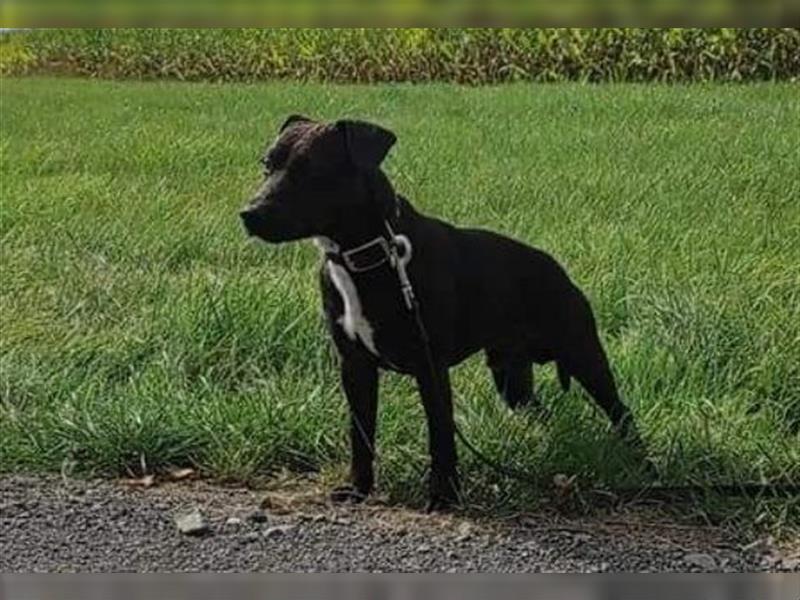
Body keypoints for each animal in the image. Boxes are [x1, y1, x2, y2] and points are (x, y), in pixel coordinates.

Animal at [241, 116, 648, 510]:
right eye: (266, 164)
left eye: (313, 170)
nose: (249, 213)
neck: (371, 253)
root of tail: (558, 269)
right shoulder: (355, 367)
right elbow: (361, 433)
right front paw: (358, 488)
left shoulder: (430, 367)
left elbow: (440, 436)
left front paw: (443, 496)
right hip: (511, 377)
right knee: (541, 410)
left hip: (583, 353)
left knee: (621, 412)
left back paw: (646, 470)